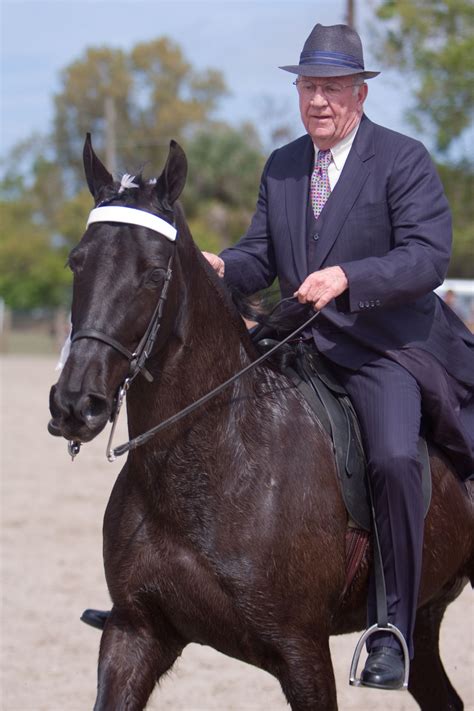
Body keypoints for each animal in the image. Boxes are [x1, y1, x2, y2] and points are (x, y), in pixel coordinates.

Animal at [49, 135, 474, 711]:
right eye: (77, 262)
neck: (216, 460)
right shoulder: (136, 632)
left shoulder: (302, 652)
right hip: (426, 618)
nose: (76, 403)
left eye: (155, 272)